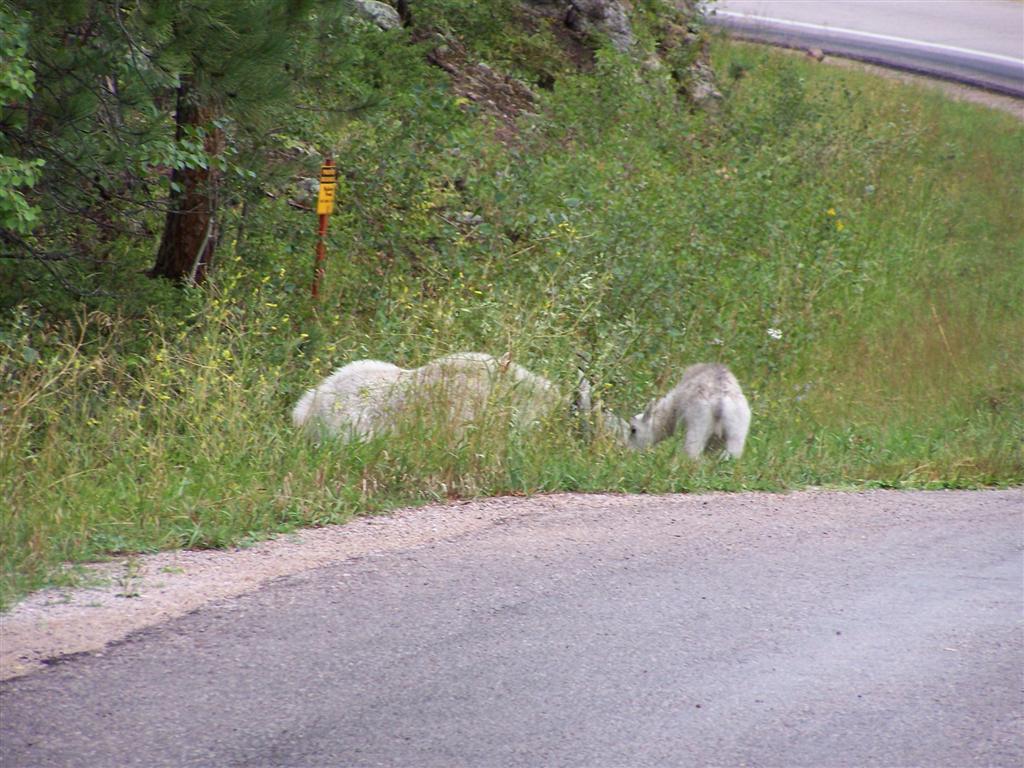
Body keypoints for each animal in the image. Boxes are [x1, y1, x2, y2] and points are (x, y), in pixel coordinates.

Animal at [622, 364, 753, 460]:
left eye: (633, 429)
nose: (628, 452)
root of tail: (719, 399)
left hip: (697, 426)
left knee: (693, 455)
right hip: (737, 429)